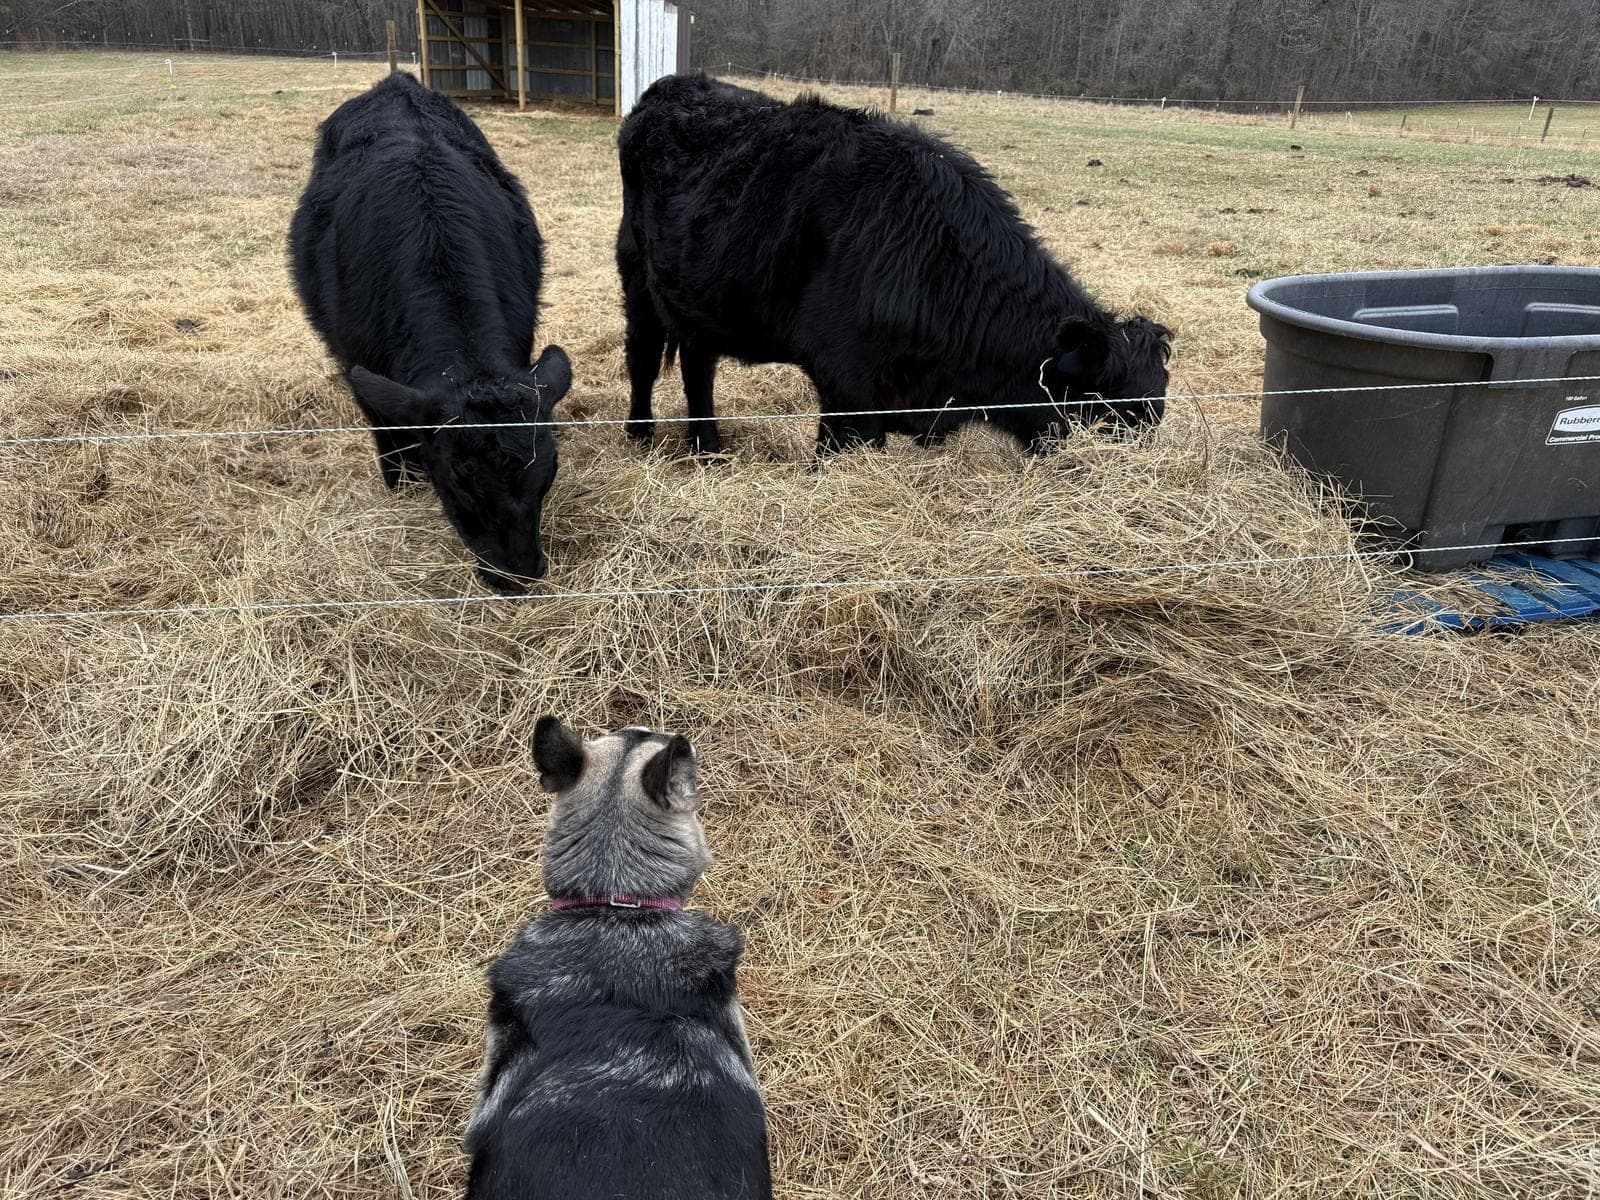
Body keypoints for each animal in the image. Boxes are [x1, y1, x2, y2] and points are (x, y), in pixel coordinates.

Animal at [289, 72, 571, 591]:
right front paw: (401, 488)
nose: (518, 575)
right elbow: (390, 438)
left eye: (550, 470)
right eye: (458, 480)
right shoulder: (362, 372)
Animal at [616, 74, 1171, 457]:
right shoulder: (845, 385)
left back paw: (708, 450)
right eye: (1106, 415)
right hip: (637, 280)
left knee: (698, 369)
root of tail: (674, 86)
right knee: (643, 360)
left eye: (1153, 413)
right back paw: (640, 436)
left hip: (698, 298)